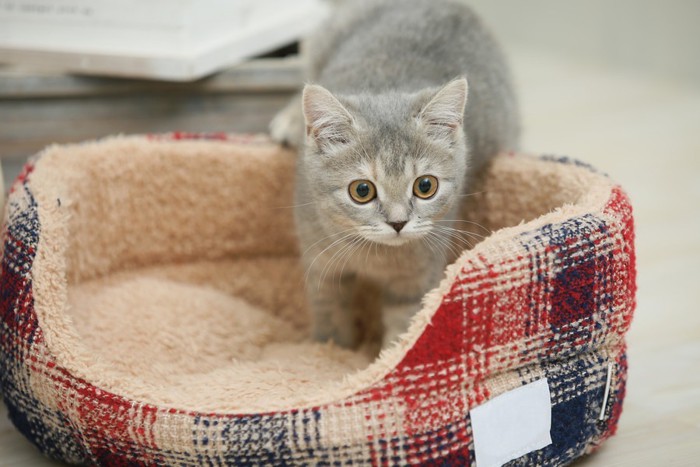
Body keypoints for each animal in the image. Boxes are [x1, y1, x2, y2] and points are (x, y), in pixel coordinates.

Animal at [272, 0, 520, 348]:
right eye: (361, 191)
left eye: (425, 186)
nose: (398, 222)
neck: (375, 255)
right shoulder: (320, 261)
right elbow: (329, 307)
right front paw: (332, 347)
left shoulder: (416, 283)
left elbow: (403, 327)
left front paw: (386, 356)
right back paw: (290, 120)